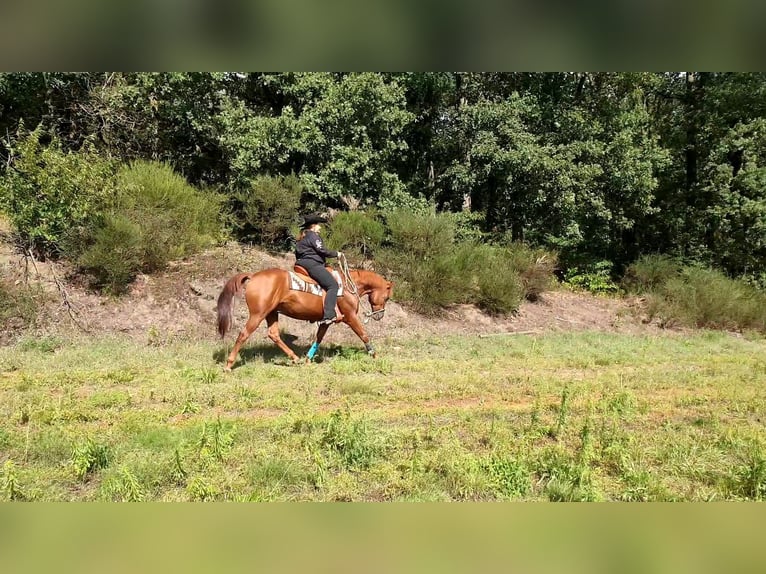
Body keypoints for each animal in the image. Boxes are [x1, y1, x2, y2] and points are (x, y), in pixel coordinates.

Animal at [218, 266, 392, 372]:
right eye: (387, 297)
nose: (380, 315)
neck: (349, 286)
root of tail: (253, 276)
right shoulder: (350, 317)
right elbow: (363, 334)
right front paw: (374, 355)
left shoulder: (326, 321)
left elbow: (319, 338)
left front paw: (308, 359)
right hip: (257, 314)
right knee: (243, 334)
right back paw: (229, 365)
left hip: (271, 313)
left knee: (274, 334)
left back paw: (295, 358)